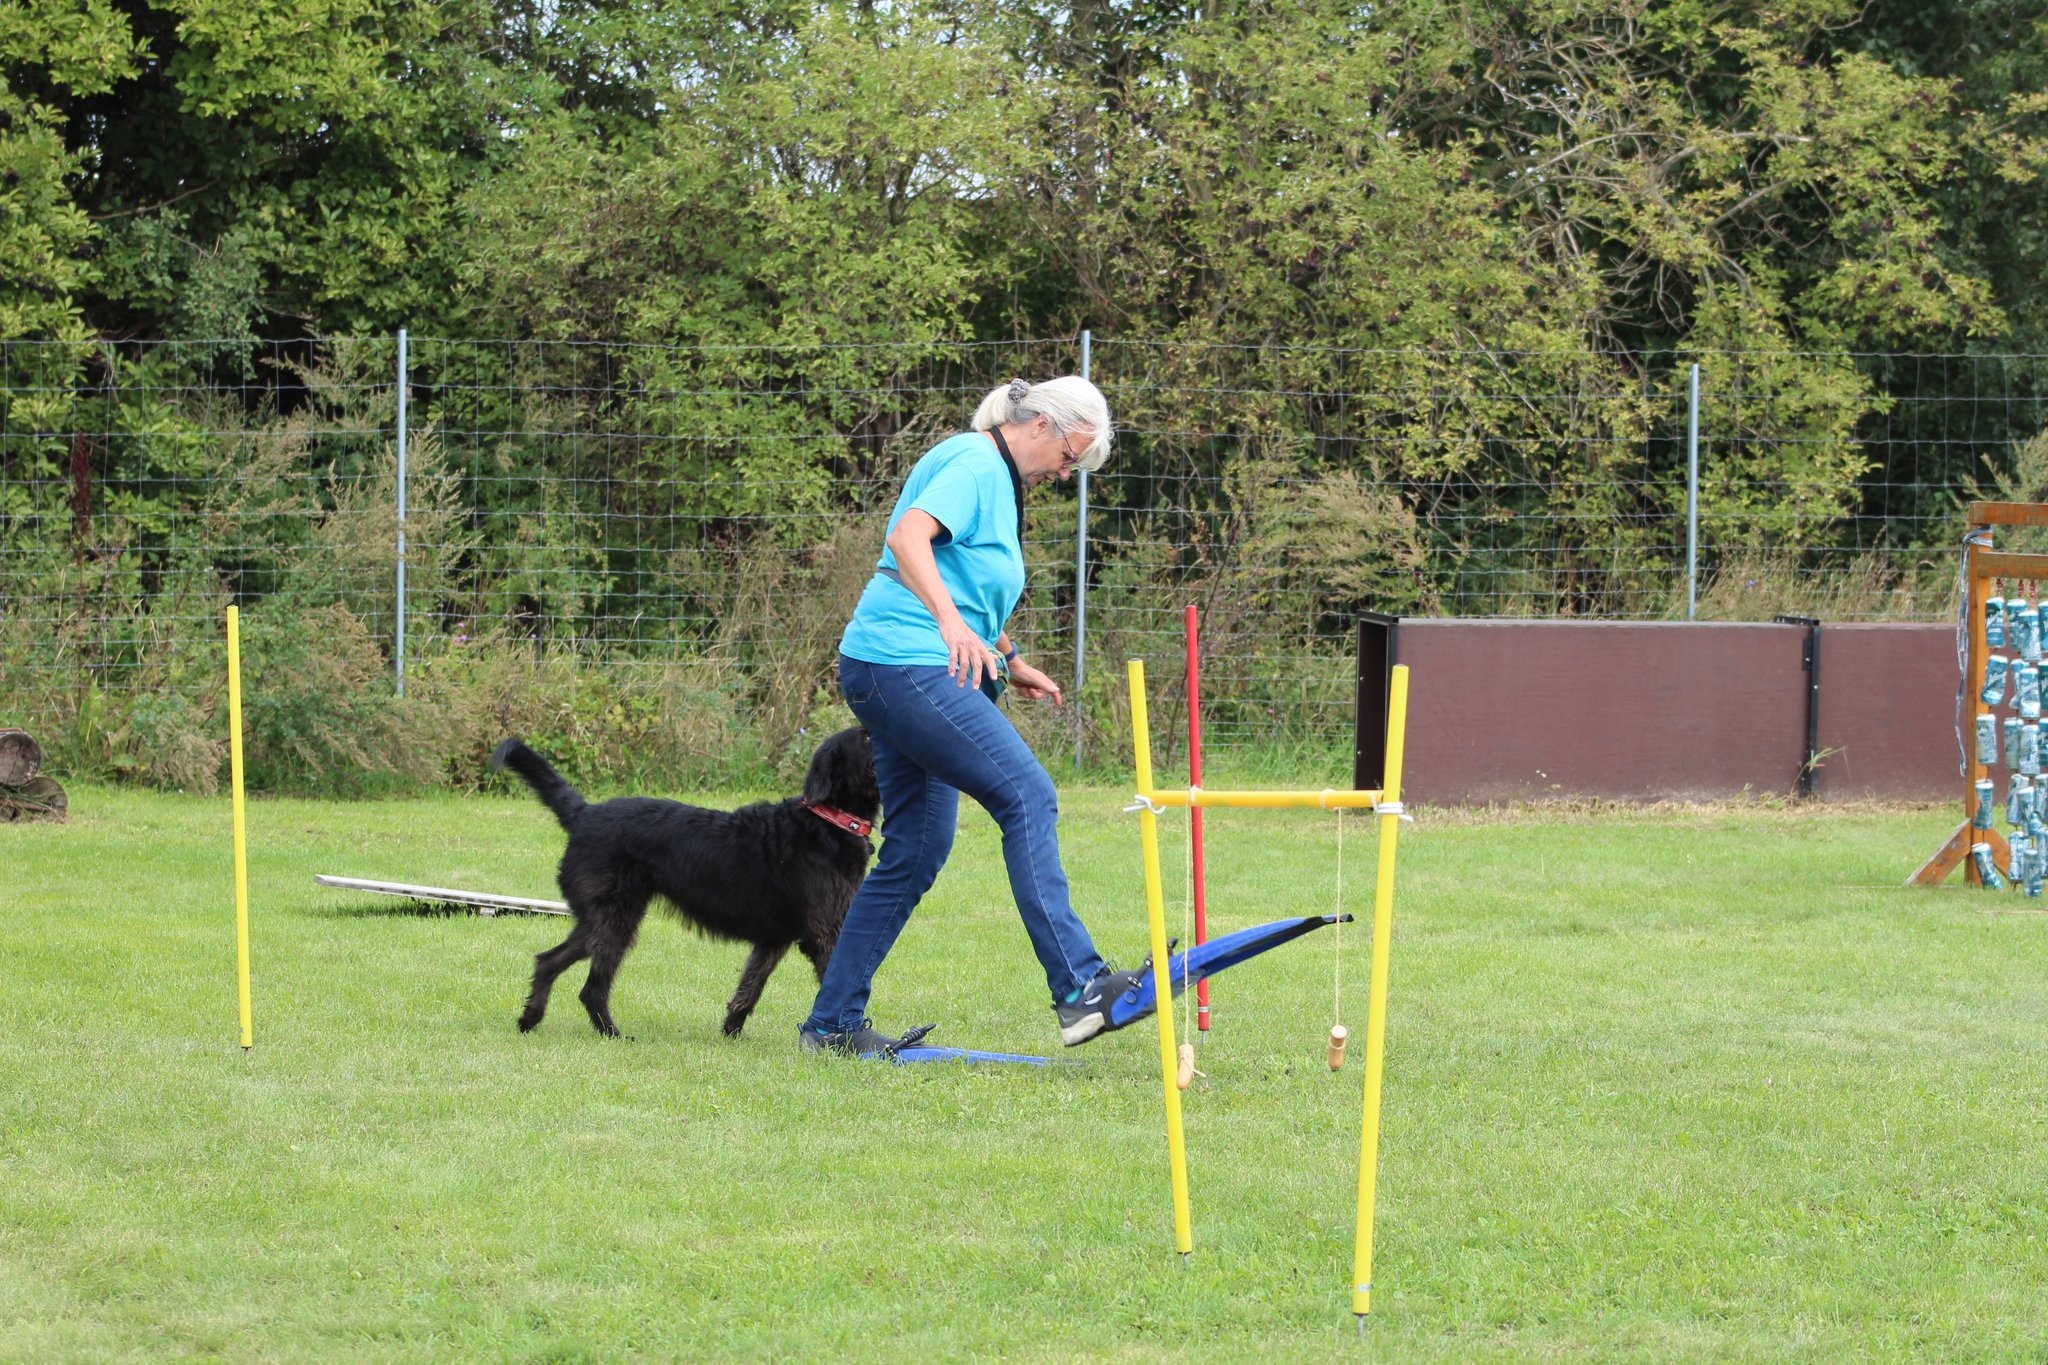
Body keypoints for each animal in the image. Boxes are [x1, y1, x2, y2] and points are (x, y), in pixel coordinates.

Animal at [491, 726, 879, 1039]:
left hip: (600, 922)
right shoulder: (824, 933)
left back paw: (530, 1019)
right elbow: (838, 984)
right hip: (614, 922)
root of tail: (583, 813)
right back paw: (612, 1033)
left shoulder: (773, 940)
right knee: (590, 988)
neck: (828, 819)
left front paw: (731, 1032)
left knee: (547, 961)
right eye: (865, 737)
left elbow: (749, 988)